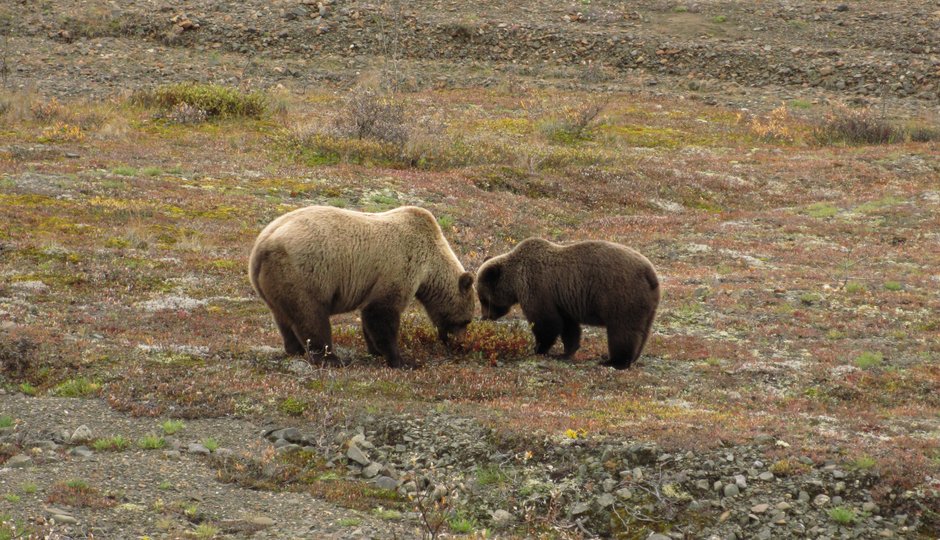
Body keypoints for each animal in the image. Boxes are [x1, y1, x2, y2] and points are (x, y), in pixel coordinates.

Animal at [249, 205, 475, 369]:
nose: (459, 343)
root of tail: (261, 245)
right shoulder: (399, 268)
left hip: (274, 282)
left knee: (284, 317)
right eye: (466, 320)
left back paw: (295, 349)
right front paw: (402, 360)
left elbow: (370, 316)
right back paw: (331, 358)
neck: (430, 267)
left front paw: (375, 350)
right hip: (304, 275)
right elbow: (381, 314)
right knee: (311, 317)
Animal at [475, 238, 659, 369]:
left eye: (483, 298)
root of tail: (650, 274)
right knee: (642, 331)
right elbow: (568, 327)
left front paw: (537, 349)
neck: (515, 281)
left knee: (622, 330)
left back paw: (614, 361)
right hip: (647, 305)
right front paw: (566, 352)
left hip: (621, 296)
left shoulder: (537, 288)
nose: (484, 317)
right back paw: (632, 358)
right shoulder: (562, 301)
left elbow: (546, 323)